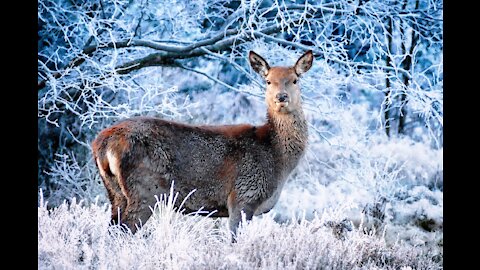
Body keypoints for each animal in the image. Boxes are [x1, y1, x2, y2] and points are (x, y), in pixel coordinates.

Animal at [91, 50, 314, 240]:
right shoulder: (243, 196)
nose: (281, 97)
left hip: (115, 193)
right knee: (123, 232)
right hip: (144, 191)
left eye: (295, 80)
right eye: (268, 81)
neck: (277, 158)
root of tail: (102, 144)